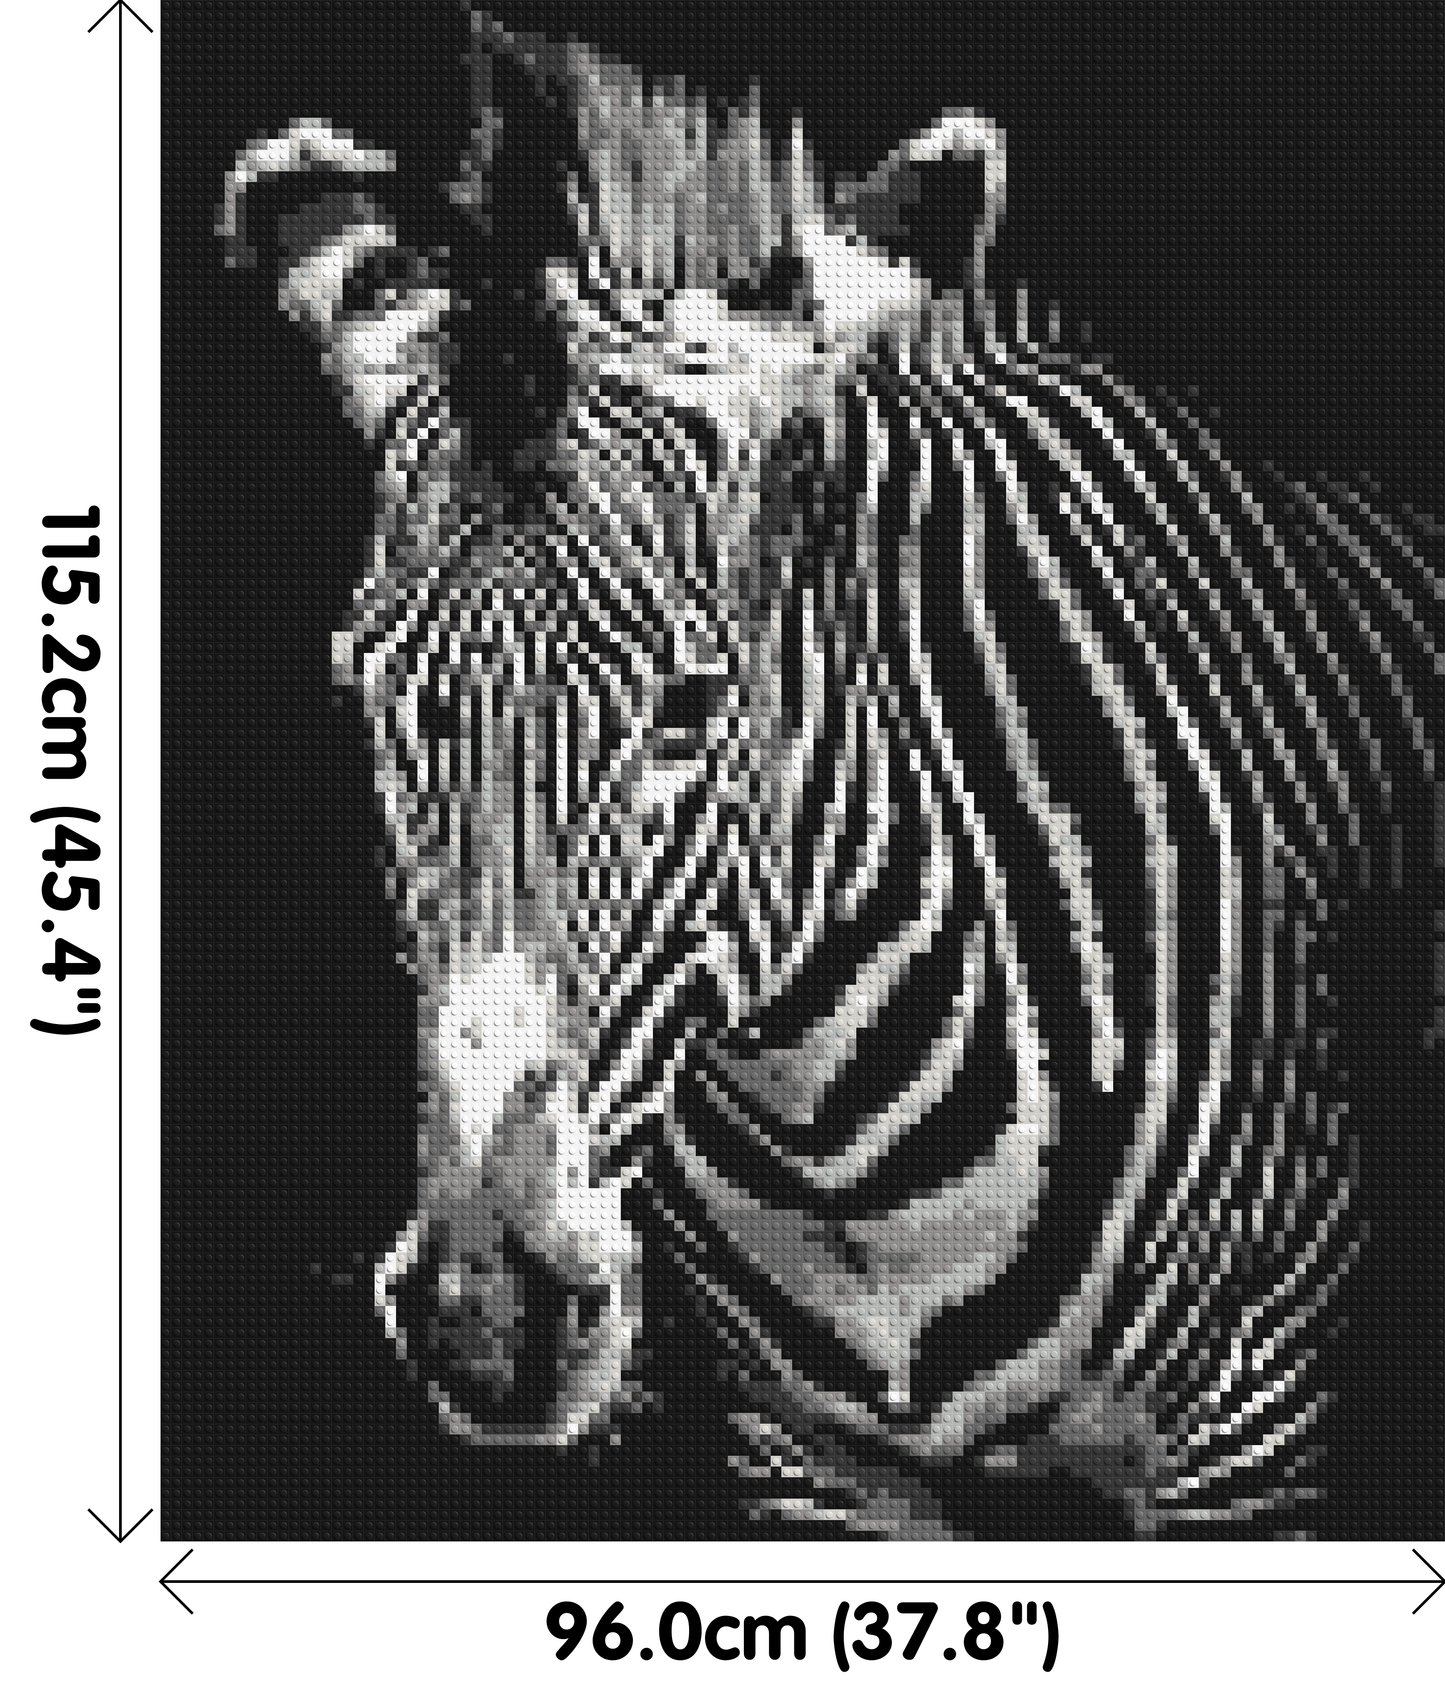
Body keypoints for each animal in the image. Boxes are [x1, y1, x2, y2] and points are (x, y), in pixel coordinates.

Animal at [219, 11, 1441, 1536]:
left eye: (690, 705)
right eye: (366, 691)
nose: (487, 1322)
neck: (835, 1148)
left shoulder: (1248, 1428)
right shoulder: (808, 1459)